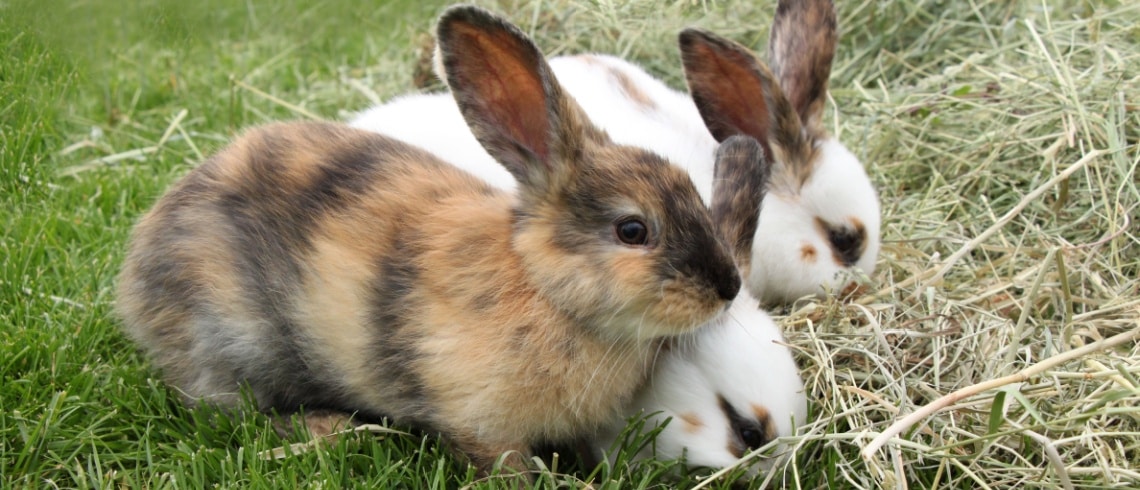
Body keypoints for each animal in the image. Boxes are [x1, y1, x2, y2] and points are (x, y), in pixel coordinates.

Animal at [116, 4, 744, 475]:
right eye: (632, 230)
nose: (728, 286)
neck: (543, 288)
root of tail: (138, 263)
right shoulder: (480, 419)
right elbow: (501, 459)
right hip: (229, 342)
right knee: (226, 411)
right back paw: (329, 426)